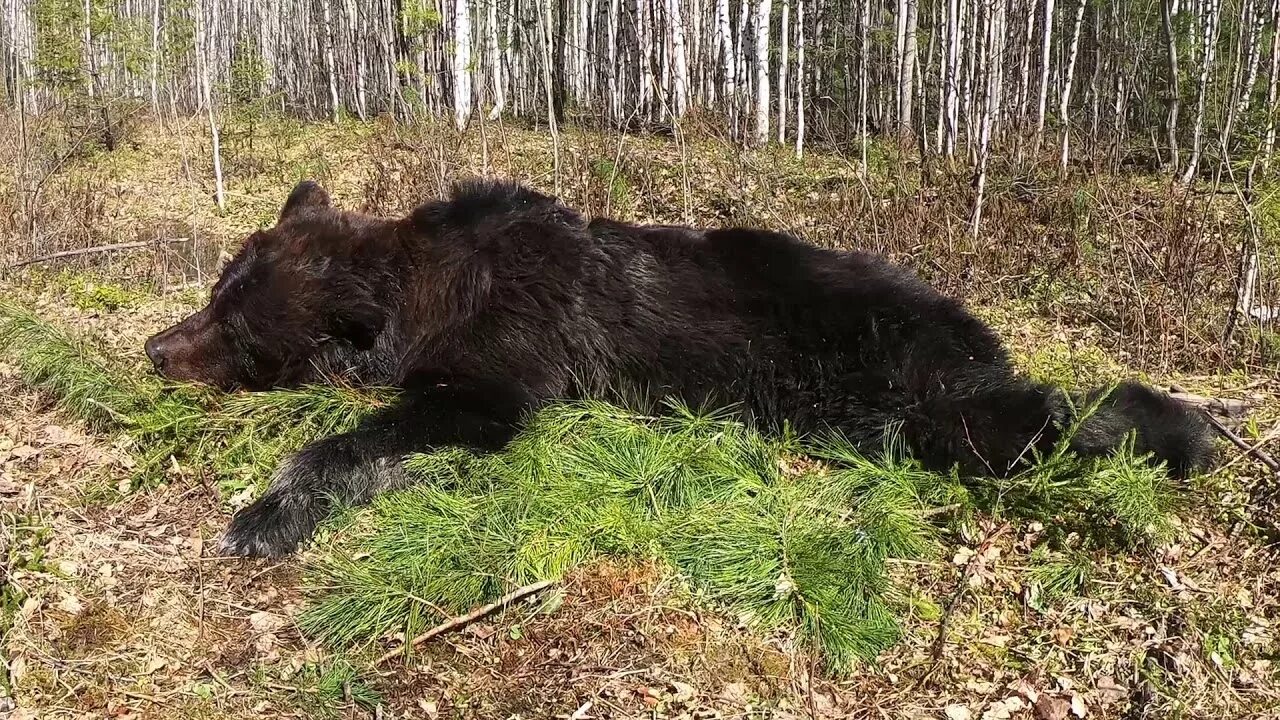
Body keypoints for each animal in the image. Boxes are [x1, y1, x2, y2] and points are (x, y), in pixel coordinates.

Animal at [145, 176, 1213, 558]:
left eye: (237, 330)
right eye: (215, 289)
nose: (156, 350)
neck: (427, 284)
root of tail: (963, 321)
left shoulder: (505, 361)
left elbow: (415, 424)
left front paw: (260, 517)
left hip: (895, 380)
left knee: (1024, 418)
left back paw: (1187, 427)